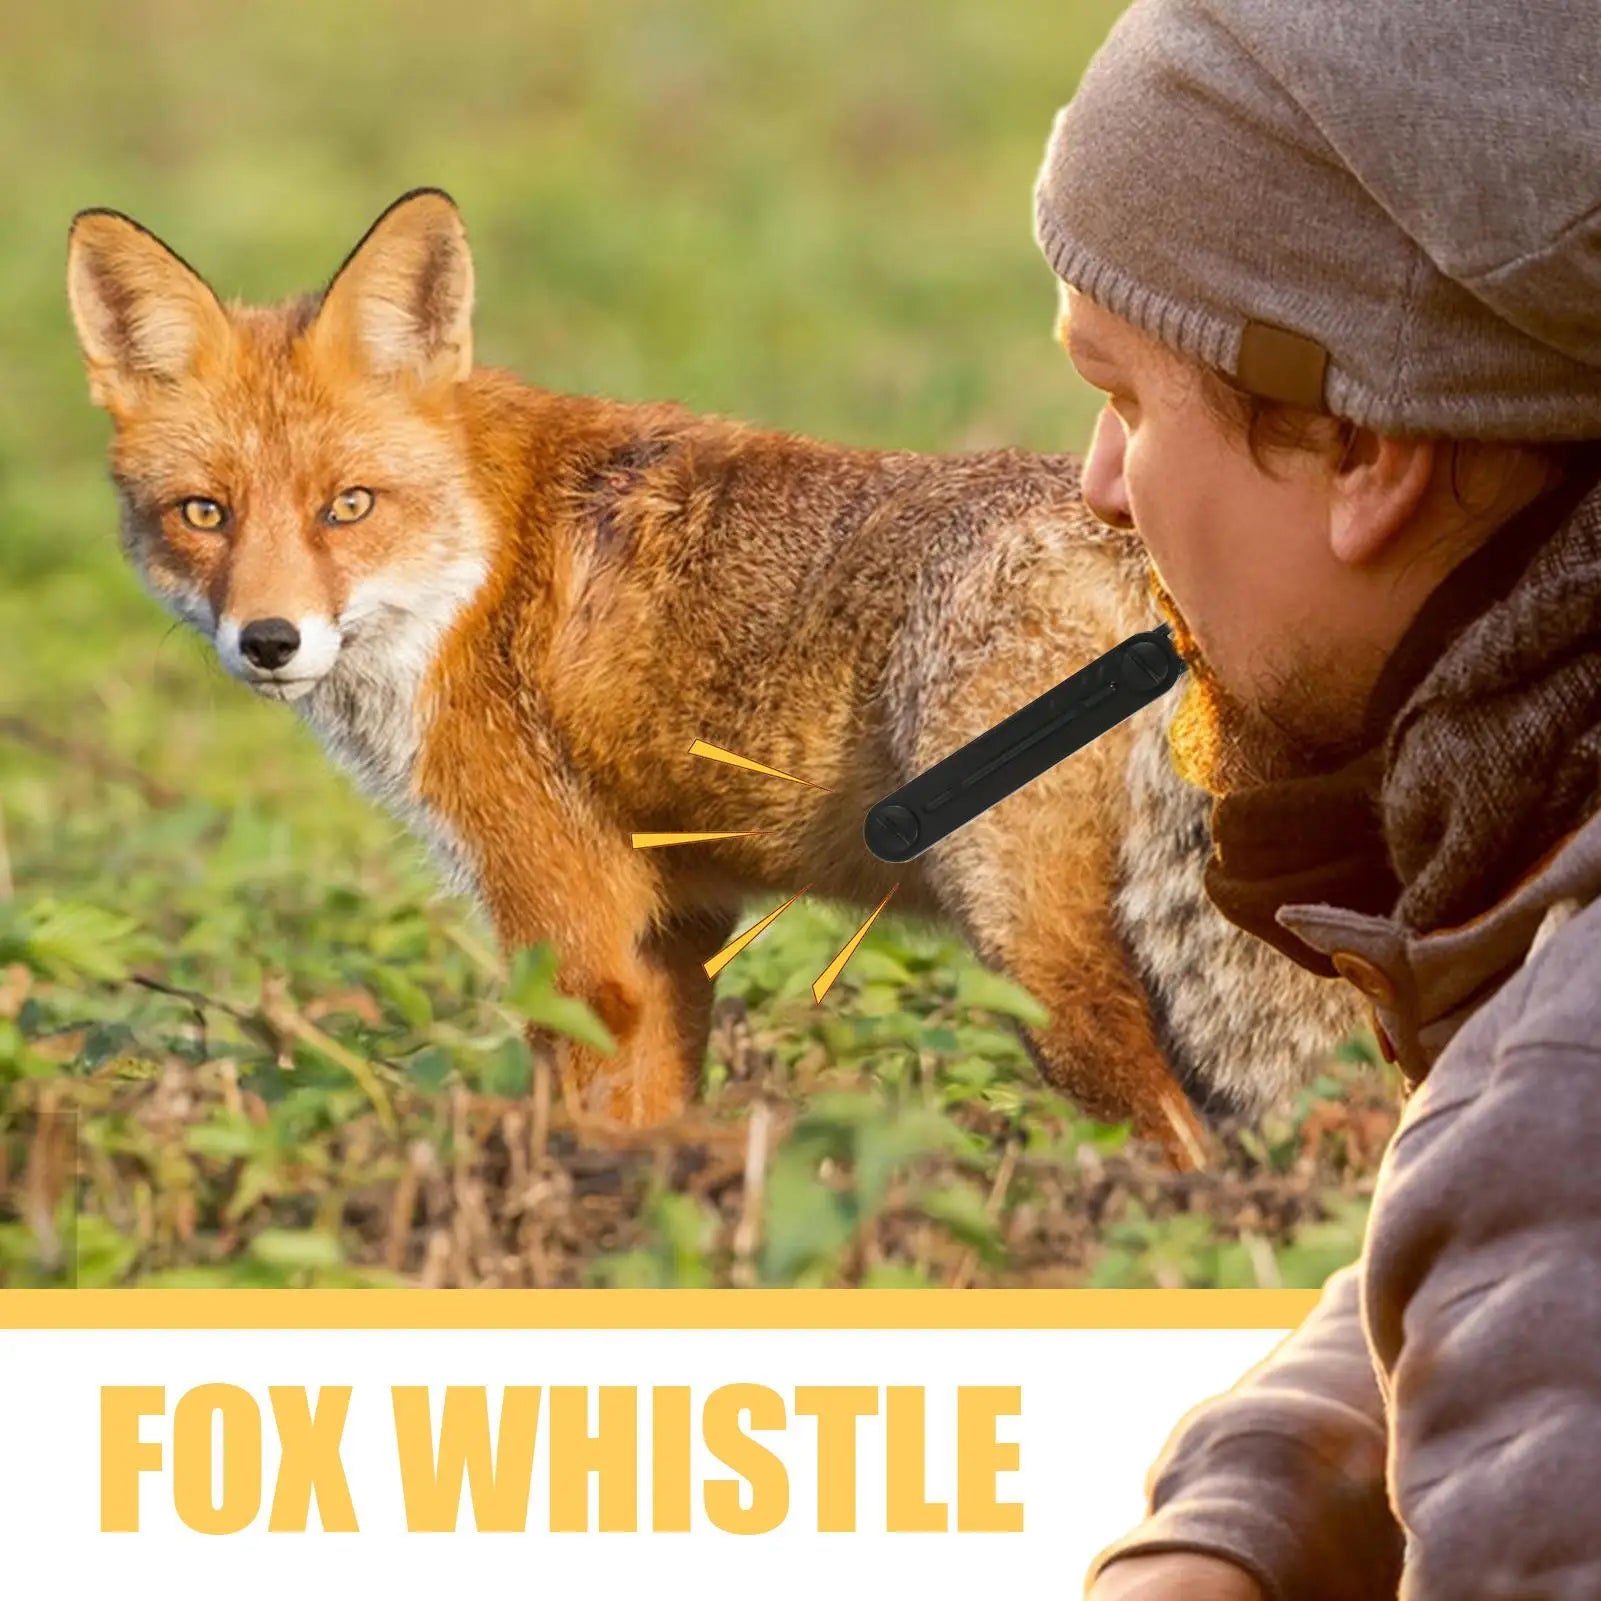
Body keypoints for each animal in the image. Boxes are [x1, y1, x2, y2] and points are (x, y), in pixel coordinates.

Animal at [64, 189, 1359, 1166]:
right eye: (203, 514)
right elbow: (659, 1118)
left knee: (1176, 1142)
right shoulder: (675, 919)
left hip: (1038, 956)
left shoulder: (569, 920)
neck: (474, 564)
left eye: (349, 506)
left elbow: (586, 1126)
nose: (268, 639)